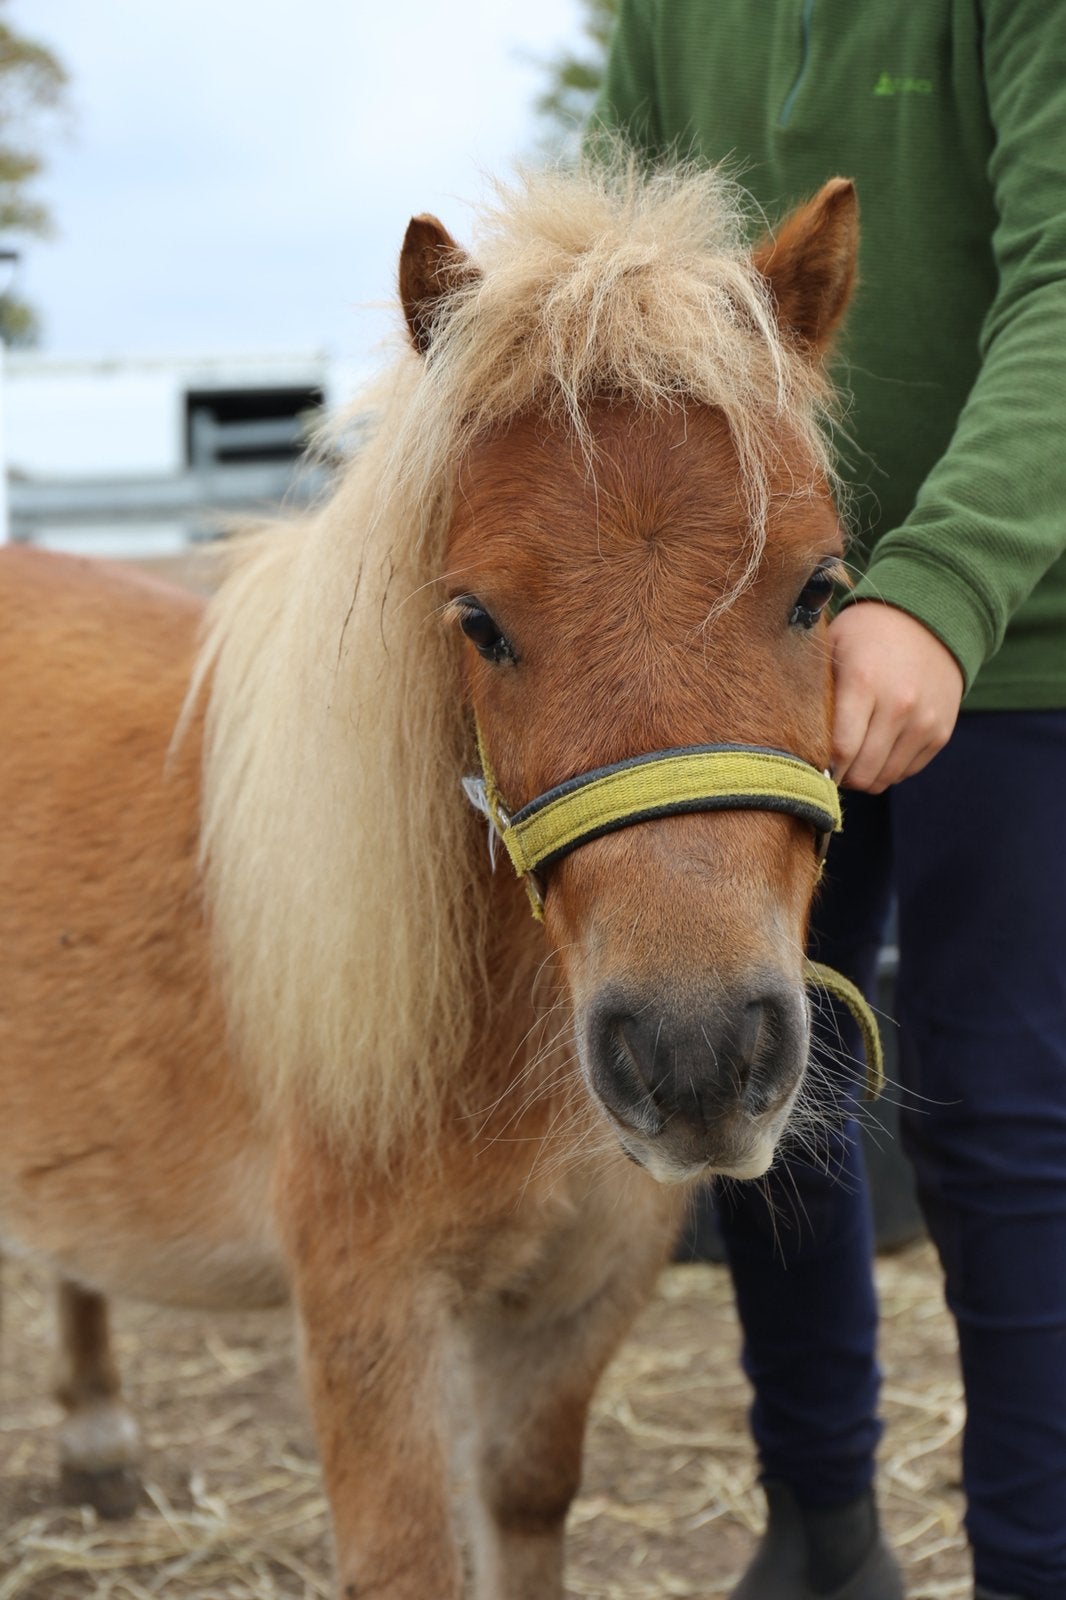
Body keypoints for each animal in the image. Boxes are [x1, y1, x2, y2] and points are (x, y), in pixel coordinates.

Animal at [0, 159, 858, 1599]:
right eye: (478, 621)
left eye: (818, 591)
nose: (692, 1058)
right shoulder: (368, 1311)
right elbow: (409, 1556)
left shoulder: (576, 1301)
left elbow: (522, 1503)